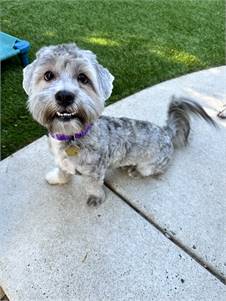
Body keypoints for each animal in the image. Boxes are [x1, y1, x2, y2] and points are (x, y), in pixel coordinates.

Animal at [23, 42, 215, 206]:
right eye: (48, 75)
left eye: (83, 78)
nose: (64, 96)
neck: (71, 135)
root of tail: (166, 131)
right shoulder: (62, 162)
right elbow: (62, 171)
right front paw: (57, 179)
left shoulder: (95, 171)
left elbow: (93, 185)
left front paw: (95, 197)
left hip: (150, 165)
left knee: (155, 171)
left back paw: (136, 171)